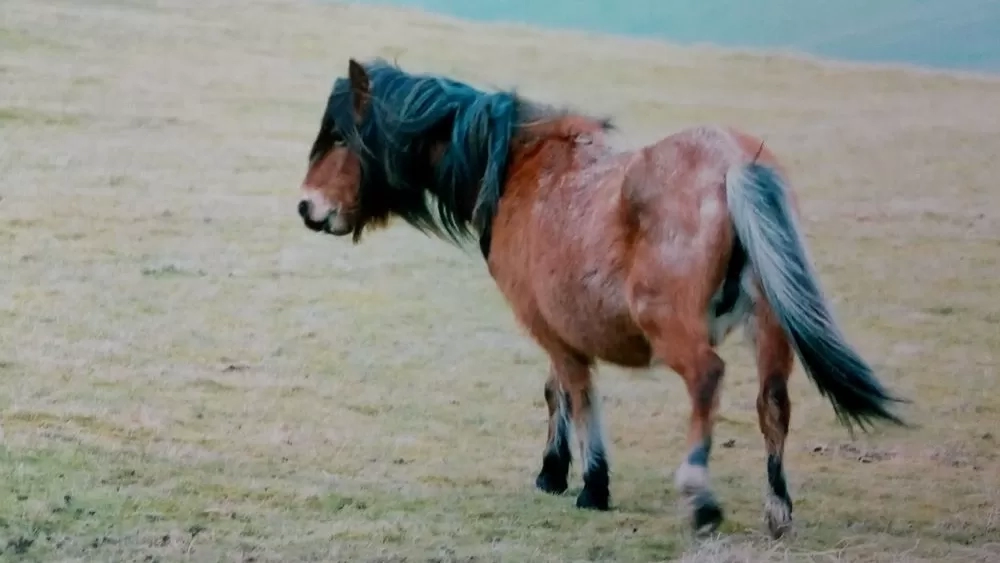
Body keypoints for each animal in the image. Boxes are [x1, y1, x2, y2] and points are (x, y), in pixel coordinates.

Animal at [292, 59, 912, 540]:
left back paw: (699, 496)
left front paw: (588, 482)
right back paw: (778, 508)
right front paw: (557, 471)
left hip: (675, 326)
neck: (517, 167)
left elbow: (575, 395)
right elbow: (560, 393)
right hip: (771, 326)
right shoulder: (559, 326)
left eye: (341, 136)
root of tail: (736, 165)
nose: (306, 207)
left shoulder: (550, 329)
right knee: (774, 402)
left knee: (707, 377)